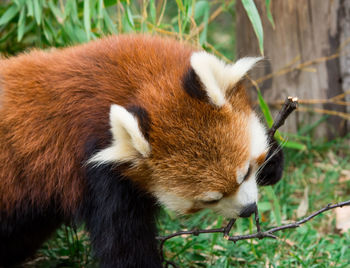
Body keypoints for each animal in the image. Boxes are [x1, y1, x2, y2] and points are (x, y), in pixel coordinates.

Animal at [0, 35, 284, 266]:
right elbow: (124, 243)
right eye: (209, 200)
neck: (134, 85)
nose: (248, 209)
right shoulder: (98, 175)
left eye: (246, 172)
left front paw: (273, 163)